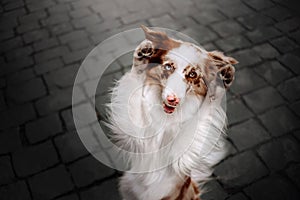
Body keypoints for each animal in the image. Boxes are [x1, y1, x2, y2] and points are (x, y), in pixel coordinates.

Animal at [106, 25, 238, 199]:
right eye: (168, 66)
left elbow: (207, 108)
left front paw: (223, 79)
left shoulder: (179, 151)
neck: (166, 117)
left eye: (192, 74)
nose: (172, 99)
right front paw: (141, 56)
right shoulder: (137, 136)